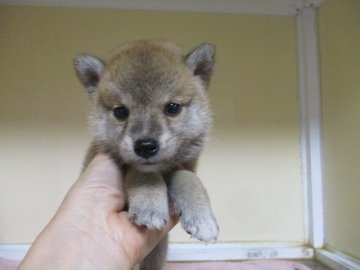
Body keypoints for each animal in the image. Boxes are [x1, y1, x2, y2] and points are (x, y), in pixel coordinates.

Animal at [74, 40, 218, 270]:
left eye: (173, 108)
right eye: (121, 112)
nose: (145, 146)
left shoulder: (185, 166)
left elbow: (189, 178)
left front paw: (202, 219)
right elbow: (143, 174)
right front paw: (149, 206)